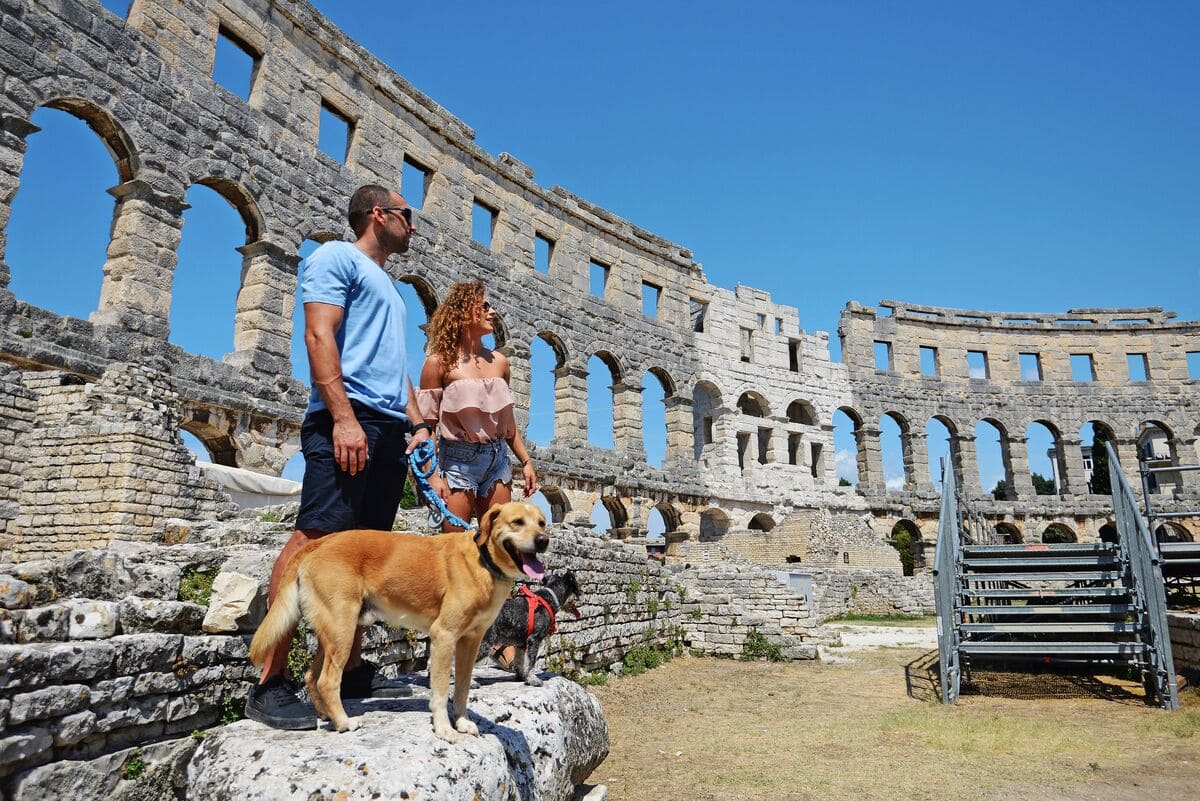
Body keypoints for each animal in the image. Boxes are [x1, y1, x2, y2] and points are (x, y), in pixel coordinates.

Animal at [248, 501, 549, 738]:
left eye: (542, 523)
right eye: (517, 522)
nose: (544, 540)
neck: (483, 561)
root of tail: (318, 543)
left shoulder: (470, 642)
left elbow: (462, 687)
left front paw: (462, 722)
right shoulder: (444, 636)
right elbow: (441, 690)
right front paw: (444, 729)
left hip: (335, 631)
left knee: (312, 676)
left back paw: (326, 716)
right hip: (342, 629)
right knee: (327, 680)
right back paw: (344, 722)